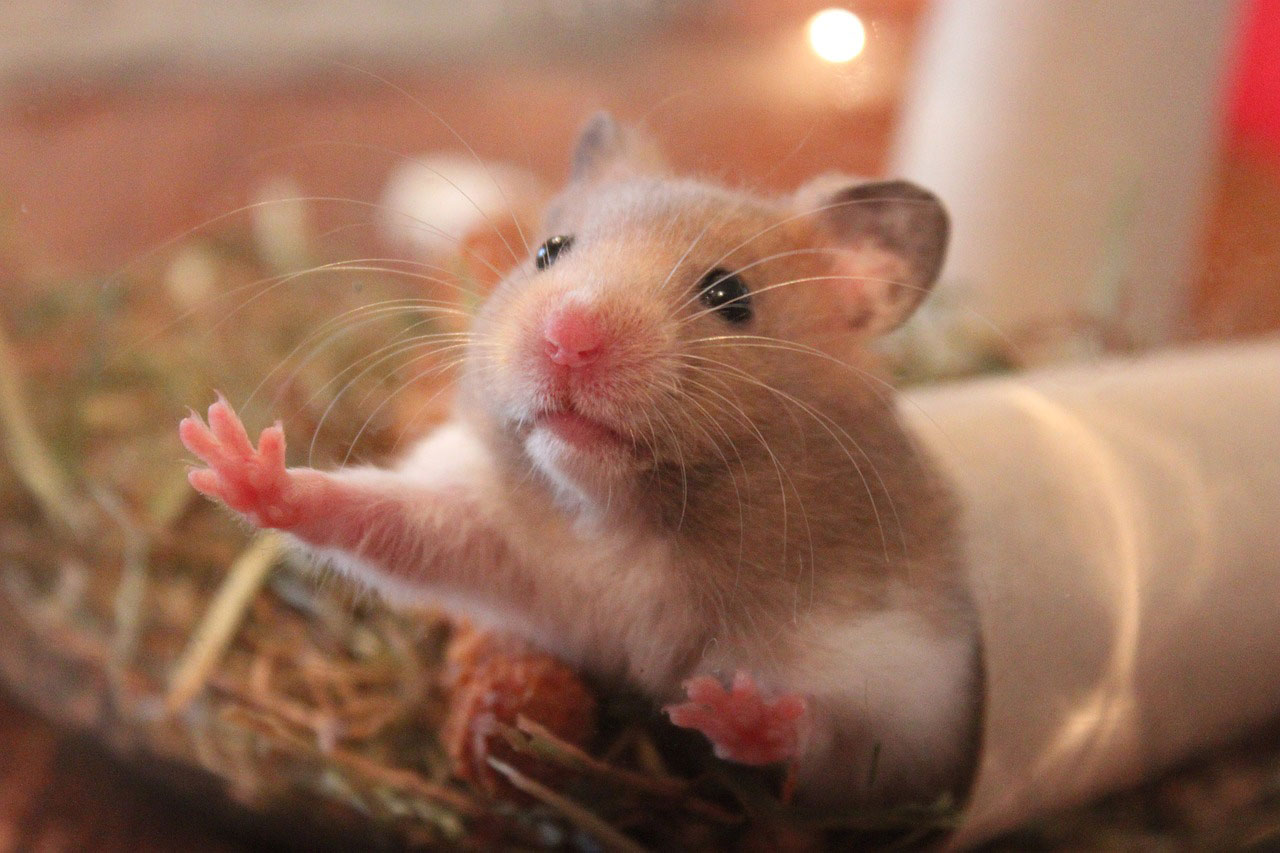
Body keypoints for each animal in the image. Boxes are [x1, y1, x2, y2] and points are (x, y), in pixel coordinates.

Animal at [179, 112, 981, 807]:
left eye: (730, 294)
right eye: (550, 250)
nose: (569, 334)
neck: (624, 520)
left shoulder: (904, 672)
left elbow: (836, 731)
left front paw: (728, 708)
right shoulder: (495, 536)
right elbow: (379, 517)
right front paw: (233, 457)